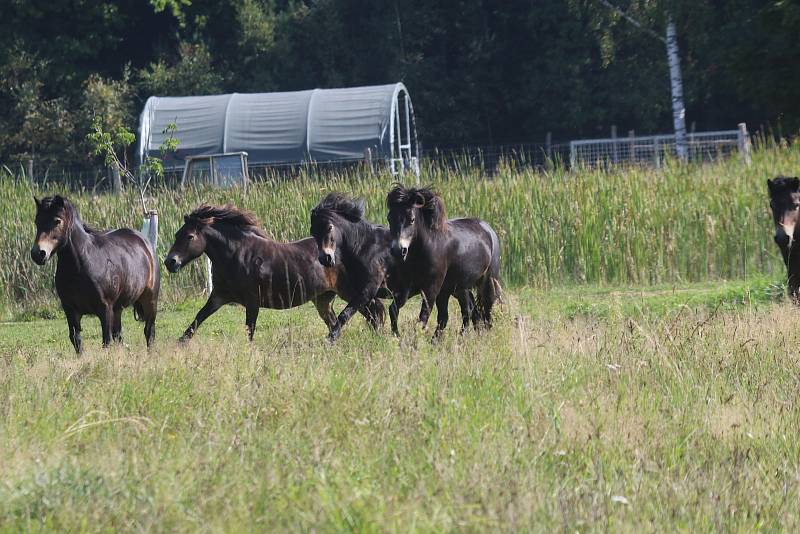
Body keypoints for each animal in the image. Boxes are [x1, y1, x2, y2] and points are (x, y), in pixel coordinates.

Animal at [30, 195, 160, 354]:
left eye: (57, 220)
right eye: (37, 221)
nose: (38, 253)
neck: (79, 268)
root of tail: (145, 243)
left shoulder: (105, 309)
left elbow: (106, 340)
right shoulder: (70, 310)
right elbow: (76, 339)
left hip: (150, 300)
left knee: (149, 331)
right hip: (117, 308)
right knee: (119, 335)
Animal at [165, 205, 384, 344]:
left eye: (190, 236)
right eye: (176, 234)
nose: (170, 262)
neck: (237, 255)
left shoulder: (252, 301)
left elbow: (250, 329)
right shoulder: (219, 297)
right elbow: (197, 319)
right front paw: (179, 343)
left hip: (349, 291)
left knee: (373, 311)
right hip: (323, 299)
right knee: (338, 322)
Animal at [386, 184, 500, 338]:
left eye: (412, 219)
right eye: (389, 218)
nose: (399, 250)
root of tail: (489, 230)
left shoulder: (431, 288)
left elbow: (423, 317)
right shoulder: (409, 286)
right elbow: (393, 309)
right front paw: (396, 336)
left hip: (486, 282)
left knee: (485, 311)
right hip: (458, 289)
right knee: (468, 311)